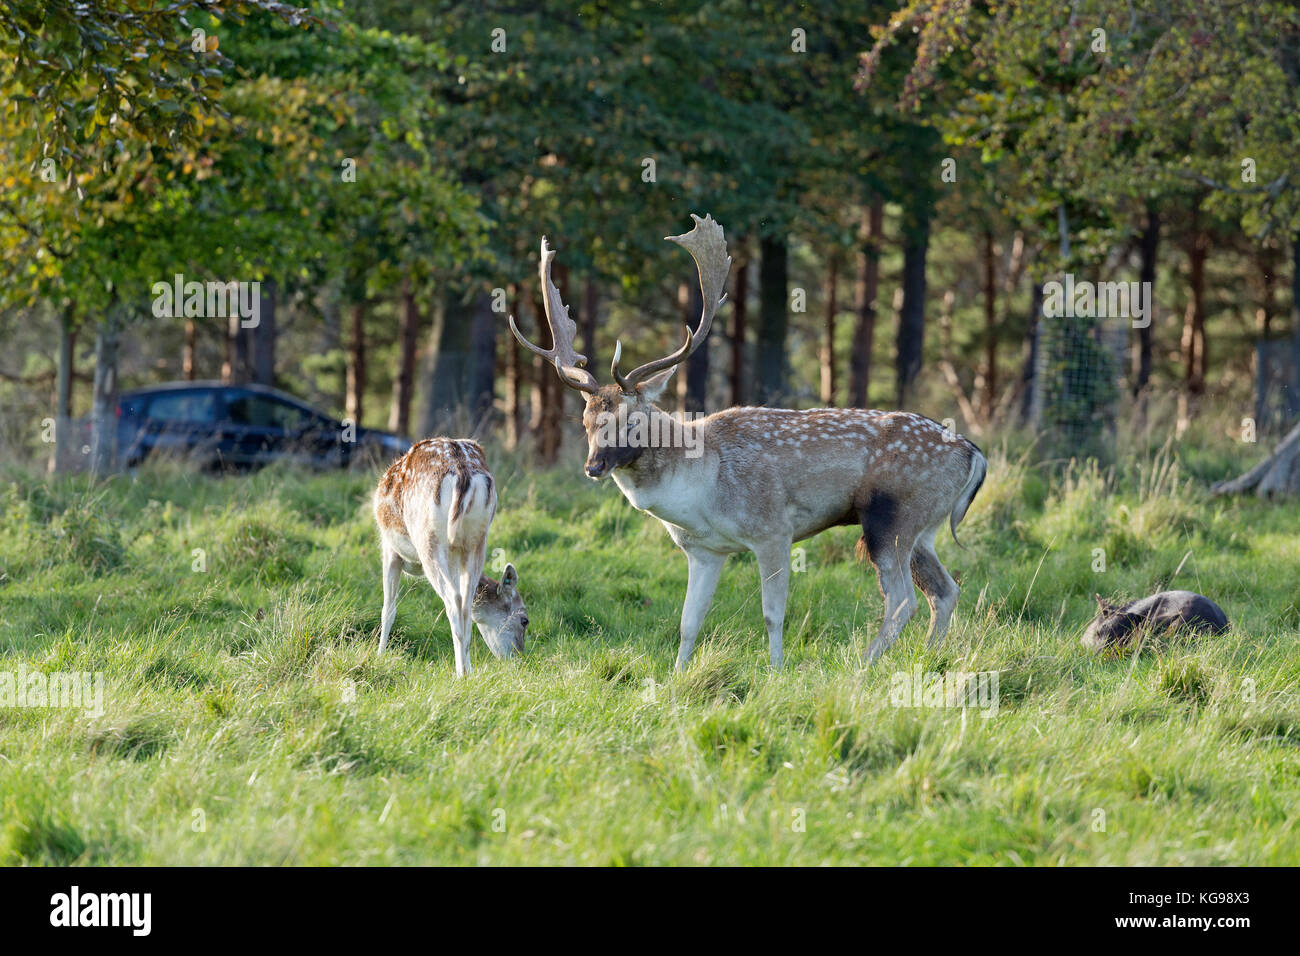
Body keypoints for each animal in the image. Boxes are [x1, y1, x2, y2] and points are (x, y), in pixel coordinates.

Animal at [371, 437, 527, 676]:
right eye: (524, 620)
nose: (520, 658)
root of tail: (464, 473)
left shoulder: (390, 549)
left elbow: (388, 609)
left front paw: (379, 656)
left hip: (430, 540)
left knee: (454, 602)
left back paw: (459, 674)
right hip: (476, 540)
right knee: (465, 604)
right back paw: (467, 672)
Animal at [506, 213, 982, 671]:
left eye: (631, 419)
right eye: (586, 420)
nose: (593, 467)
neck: (703, 487)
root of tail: (973, 454)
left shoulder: (773, 529)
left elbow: (772, 614)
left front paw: (776, 671)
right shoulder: (704, 551)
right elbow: (688, 621)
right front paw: (677, 676)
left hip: (892, 516)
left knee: (902, 599)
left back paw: (862, 665)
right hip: (922, 528)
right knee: (945, 590)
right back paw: (930, 657)